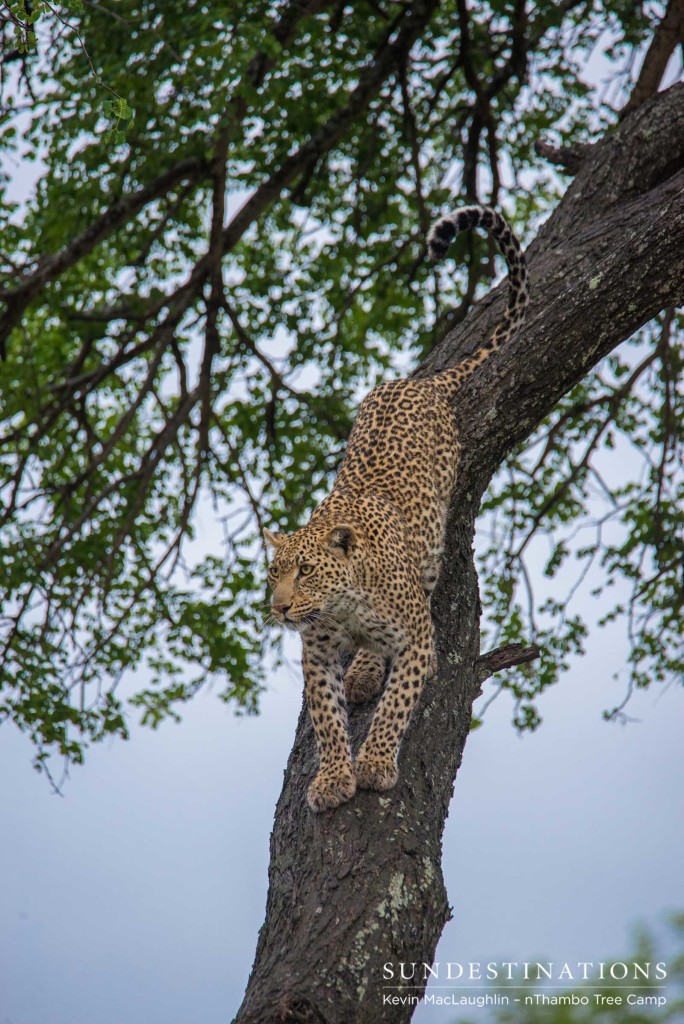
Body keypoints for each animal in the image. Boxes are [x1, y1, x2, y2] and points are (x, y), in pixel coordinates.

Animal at [264, 205, 528, 815]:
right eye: (273, 572)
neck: (345, 605)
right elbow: (327, 720)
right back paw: (361, 669)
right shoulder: (316, 655)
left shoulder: (416, 642)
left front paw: (377, 763)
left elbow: (395, 707)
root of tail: (416, 381)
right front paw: (334, 776)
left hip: (431, 548)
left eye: (305, 571)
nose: (280, 608)